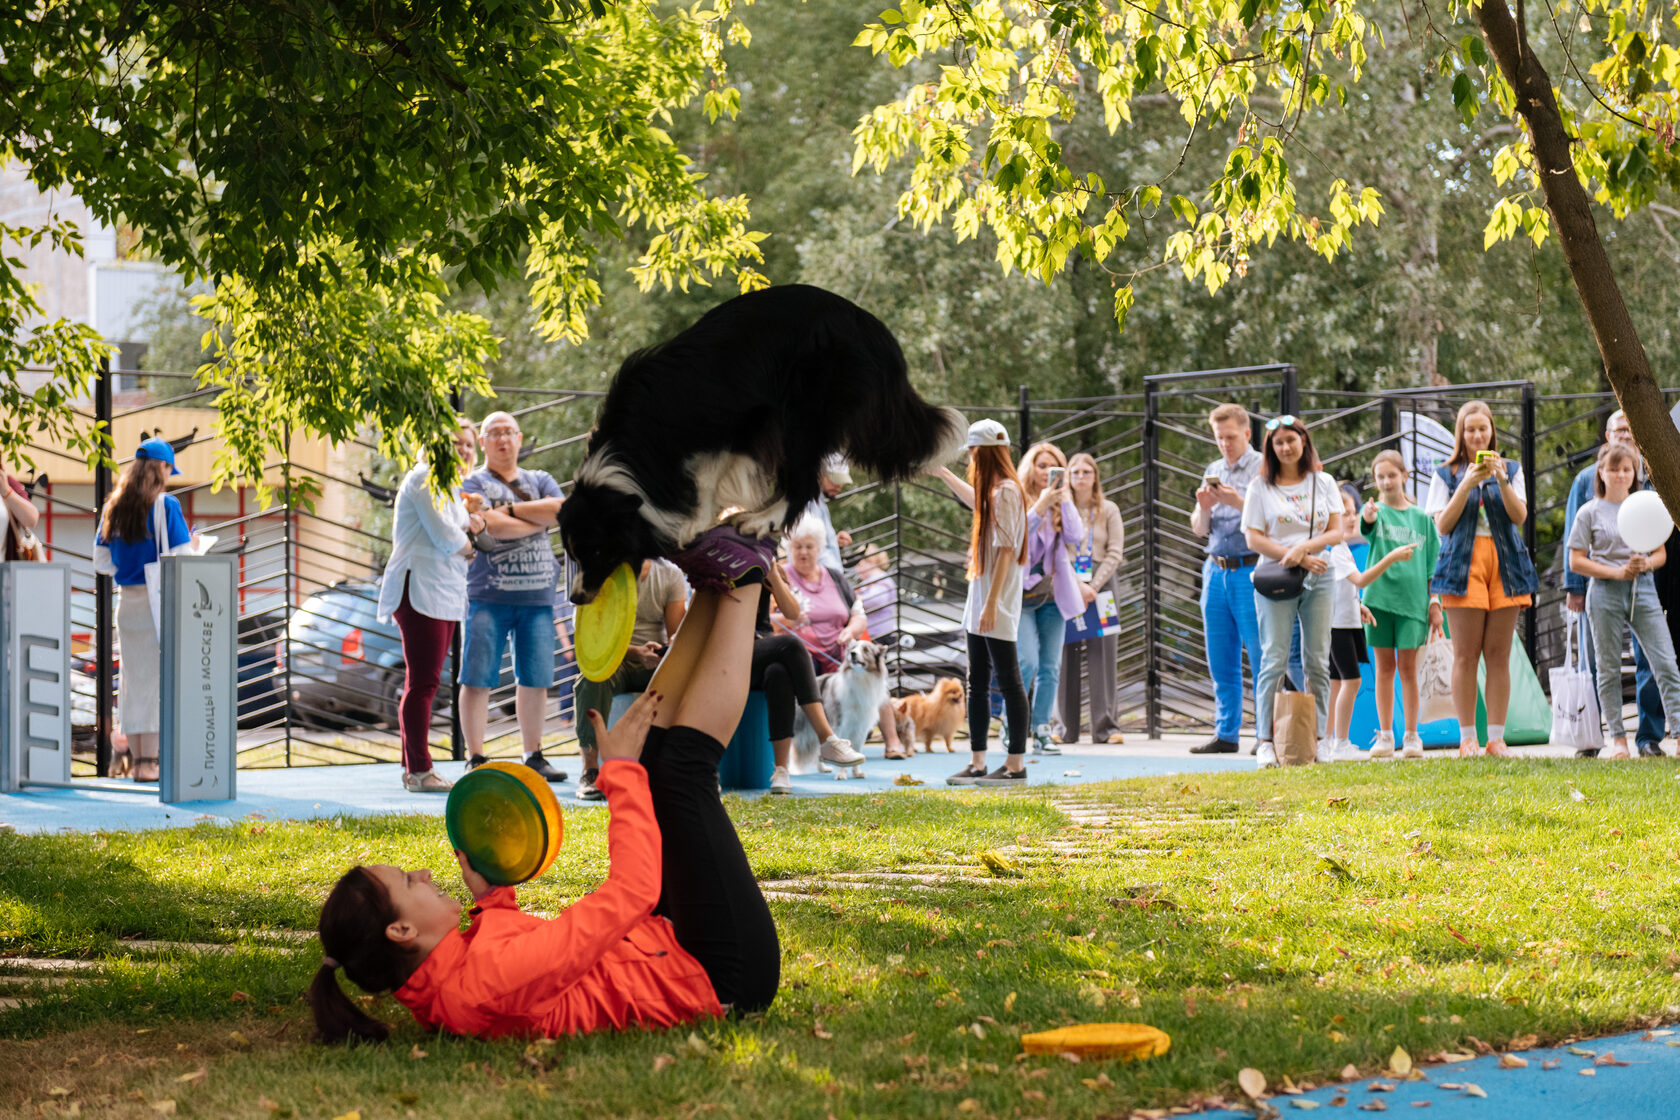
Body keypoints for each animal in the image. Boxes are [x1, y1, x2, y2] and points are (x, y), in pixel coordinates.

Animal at [561, 285, 967, 601]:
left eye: (597, 550)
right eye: (571, 553)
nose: (577, 598)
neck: (636, 444)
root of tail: (870, 325)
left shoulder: (743, 421)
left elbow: (706, 478)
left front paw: (695, 523)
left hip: (805, 410)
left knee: (803, 483)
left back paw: (759, 520)